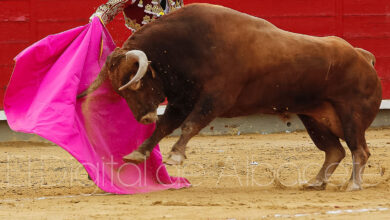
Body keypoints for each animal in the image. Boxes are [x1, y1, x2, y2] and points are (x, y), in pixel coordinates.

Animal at [79, 3, 380, 191]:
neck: (185, 47)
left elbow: (190, 124)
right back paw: (316, 182)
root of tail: (363, 57)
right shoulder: (182, 100)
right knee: (334, 150)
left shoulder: (215, 98)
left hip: (351, 116)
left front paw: (175, 156)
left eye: (136, 84)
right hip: (315, 119)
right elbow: (164, 126)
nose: (143, 118)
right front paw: (137, 153)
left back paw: (353, 184)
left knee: (359, 150)